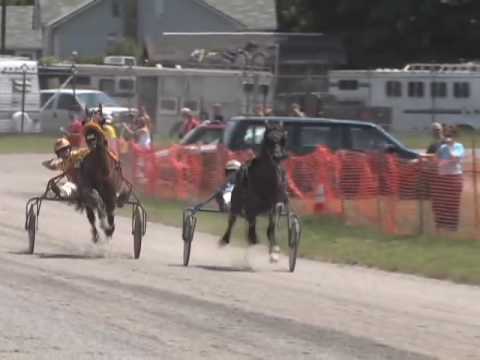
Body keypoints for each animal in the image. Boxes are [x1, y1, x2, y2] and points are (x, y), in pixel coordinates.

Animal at [221, 121, 288, 262]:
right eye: (268, 139)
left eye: (282, 139)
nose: (277, 156)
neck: (266, 179)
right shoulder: (251, 205)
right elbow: (251, 228)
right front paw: (256, 242)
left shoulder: (276, 204)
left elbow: (271, 227)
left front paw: (274, 250)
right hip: (237, 201)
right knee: (233, 220)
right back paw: (225, 239)